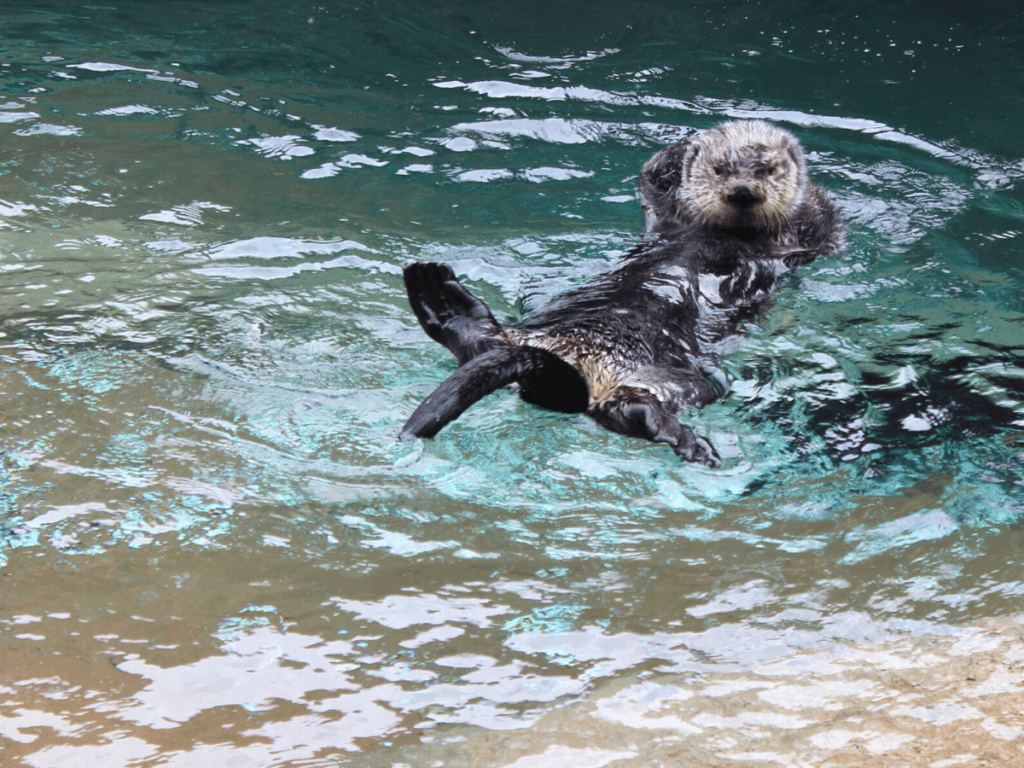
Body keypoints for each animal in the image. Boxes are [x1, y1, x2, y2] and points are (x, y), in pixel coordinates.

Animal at [397, 120, 839, 468]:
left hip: (676, 382)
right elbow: (652, 178)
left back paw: (679, 436)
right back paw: (440, 297)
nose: (744, 190)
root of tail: (579, 369)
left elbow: (820, 225)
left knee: (627, 412)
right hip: (532, 334)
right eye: (720, 169)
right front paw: (686, 150)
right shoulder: (663, 215)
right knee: (485, 343)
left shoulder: (805, 246)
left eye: (768, 169)